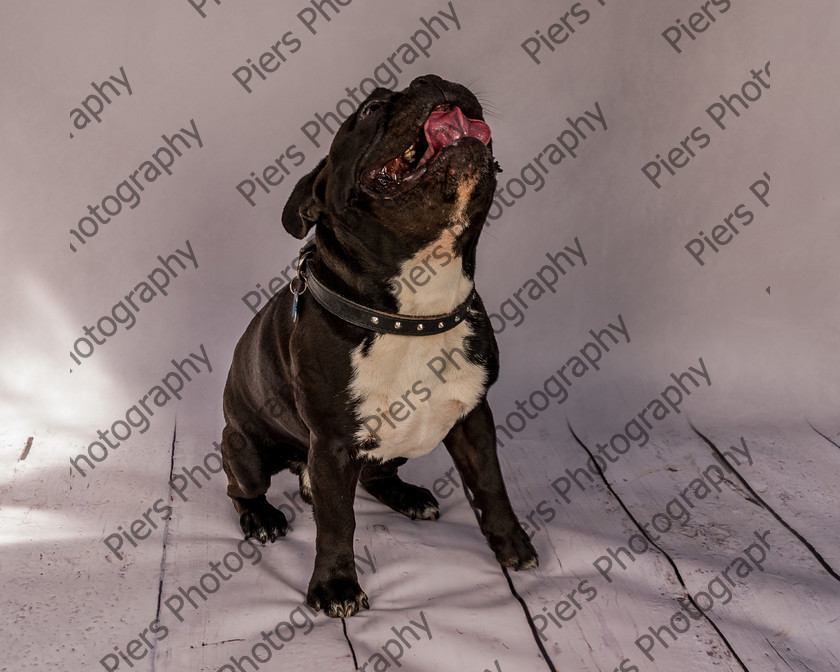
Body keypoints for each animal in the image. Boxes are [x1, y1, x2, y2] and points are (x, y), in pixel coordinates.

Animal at [221, 75, 540, 620]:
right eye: (370, 109)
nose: (432, 78)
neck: (414, 310)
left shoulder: (474, 417)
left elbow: (491, 484)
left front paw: (511, 543)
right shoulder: (332, 444)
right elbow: (338, 523)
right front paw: (335, 586)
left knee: (375, 476)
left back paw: (407, 495)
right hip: (243, 448)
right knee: (241, 487)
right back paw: (260, 517)